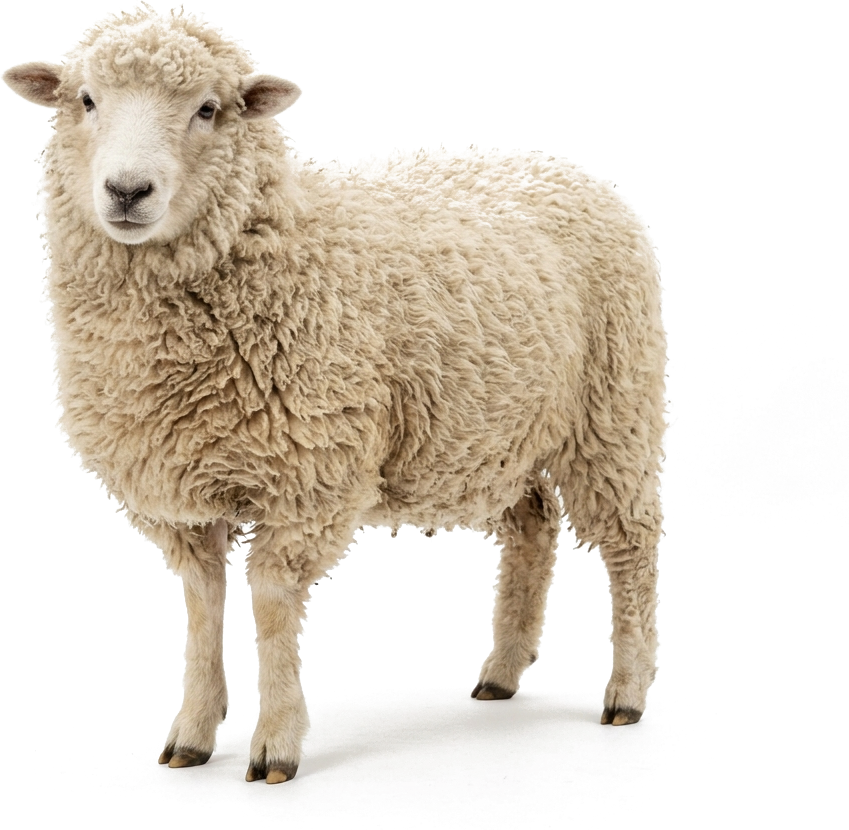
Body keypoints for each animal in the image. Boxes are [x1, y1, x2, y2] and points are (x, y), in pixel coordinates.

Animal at [4, 7, 666, 784]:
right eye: (84, 100)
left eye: (208, 109)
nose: (128, 191)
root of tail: (570, 169)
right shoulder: (182, 490)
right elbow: (202, 604)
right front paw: (193, 732)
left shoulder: (310, 476)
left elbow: (270, 603)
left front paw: (276, 744)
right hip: (494, 430)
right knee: (533, 523)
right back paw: (502, 670)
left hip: (614, 405)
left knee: (629, 543)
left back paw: (627, 690)